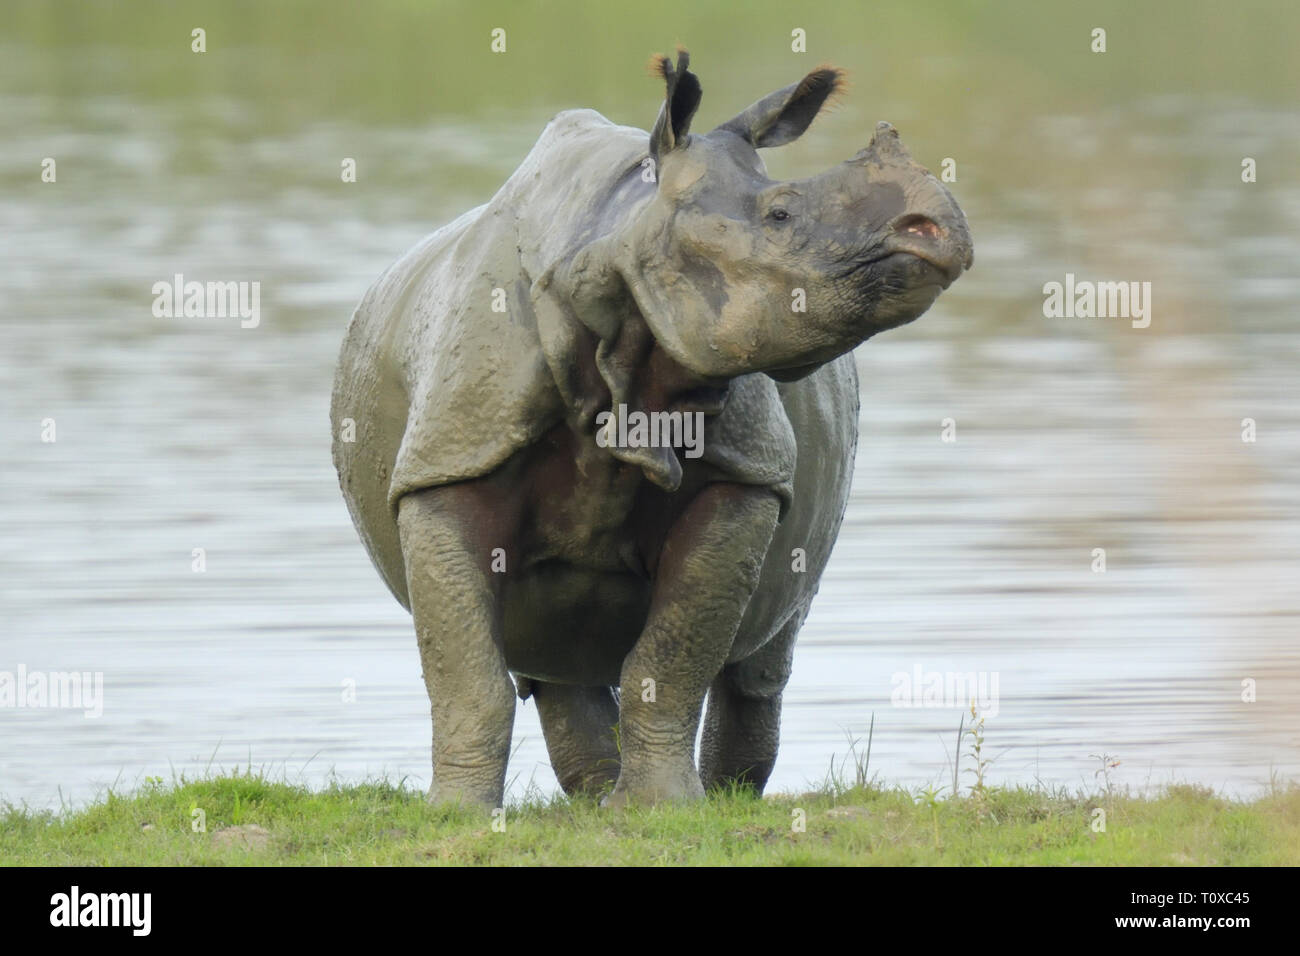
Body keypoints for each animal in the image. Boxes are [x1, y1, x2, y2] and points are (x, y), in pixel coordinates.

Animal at [330, 50, 972, 807]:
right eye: (781, 214)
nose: (936, 227)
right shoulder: (451, 459)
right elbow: (466, 669)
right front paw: (457, 813)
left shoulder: (742, 476)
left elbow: (671, 655)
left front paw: (667, 807)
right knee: (549, 658)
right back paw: (599, 799)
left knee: (760, 655)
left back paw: (710, 799)